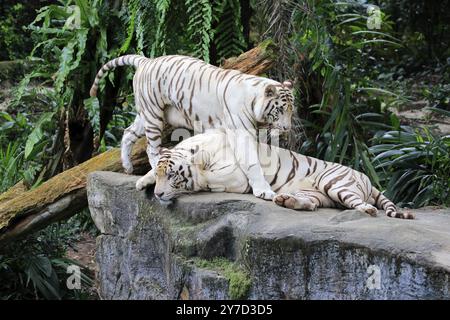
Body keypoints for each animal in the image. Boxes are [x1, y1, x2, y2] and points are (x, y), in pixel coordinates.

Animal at [89, 55, 294, 200]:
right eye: (280, 110)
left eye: (292, 110)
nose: (287, 128)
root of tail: (147, 60)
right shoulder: (240, 132)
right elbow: (252, 162)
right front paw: (264, 191)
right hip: (153, 115)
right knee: (151, 148)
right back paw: (153, 170)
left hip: (147, 114)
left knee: (127, 133)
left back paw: (128, 166)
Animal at [138, 129, 414, 219]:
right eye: (161, 175)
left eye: (172, 176)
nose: (158, 194)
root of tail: (365, 177)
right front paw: (142, 181)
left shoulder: (234, 176)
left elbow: (207, 179)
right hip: (316, 194)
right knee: (311, 205)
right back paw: (285, 200)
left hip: (335, 184)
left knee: (361, 203)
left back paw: (367, 210)